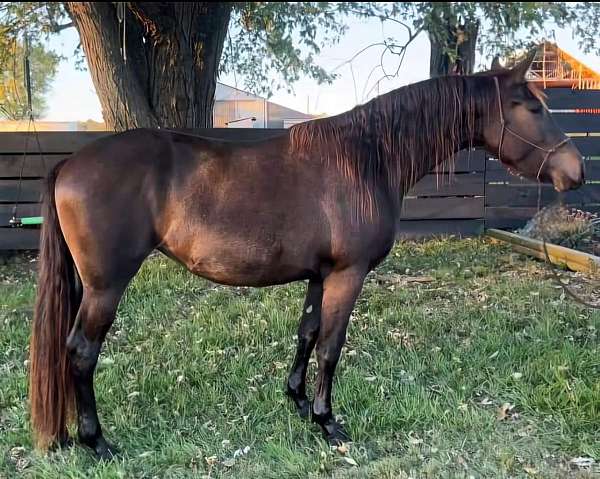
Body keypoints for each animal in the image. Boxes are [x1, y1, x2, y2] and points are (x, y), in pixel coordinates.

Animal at [29, 50, 584, 460]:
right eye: (533, 107)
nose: (575, 171)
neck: (367, 158)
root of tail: (70, 164)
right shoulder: (348, 274)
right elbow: (331, 347)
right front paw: (327, 421)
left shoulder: (320, 275)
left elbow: (307, 333)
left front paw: (296, 401)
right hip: (106, 286)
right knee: (80, 352)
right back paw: (97, 442)